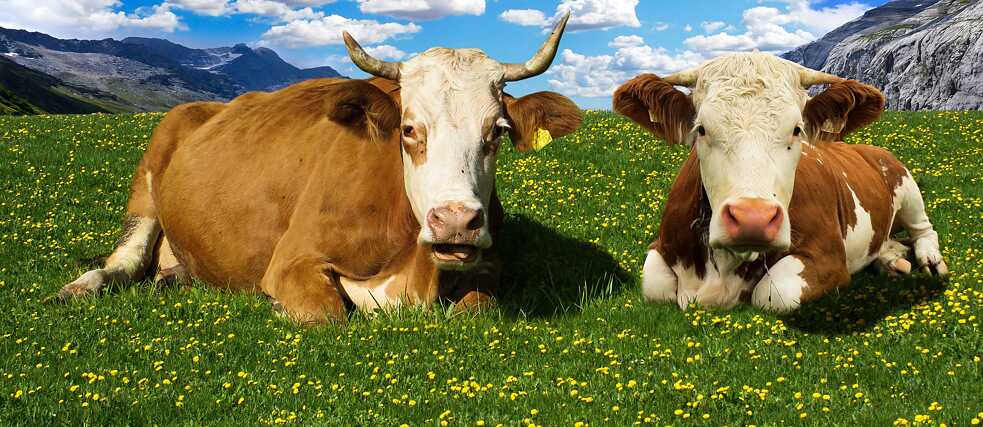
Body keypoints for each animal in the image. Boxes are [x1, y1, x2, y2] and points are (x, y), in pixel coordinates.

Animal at [54, 15, 582, 323]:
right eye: (409, 128)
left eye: (498, 130)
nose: (456, 221)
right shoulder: (293, 259)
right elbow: (330, 314)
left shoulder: (490, 262)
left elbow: (476, 309)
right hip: (147, 183)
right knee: (124, 260)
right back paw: (78, 288)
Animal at [613, 53, 948, 312]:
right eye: (702, 129)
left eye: (797, 129)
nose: (753, 218)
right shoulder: (660, 249)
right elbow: (654, 284)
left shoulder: (829, 260)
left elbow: (774, 292)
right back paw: (891, 260)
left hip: (905, 184)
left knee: (923, 230)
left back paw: (930, 260)